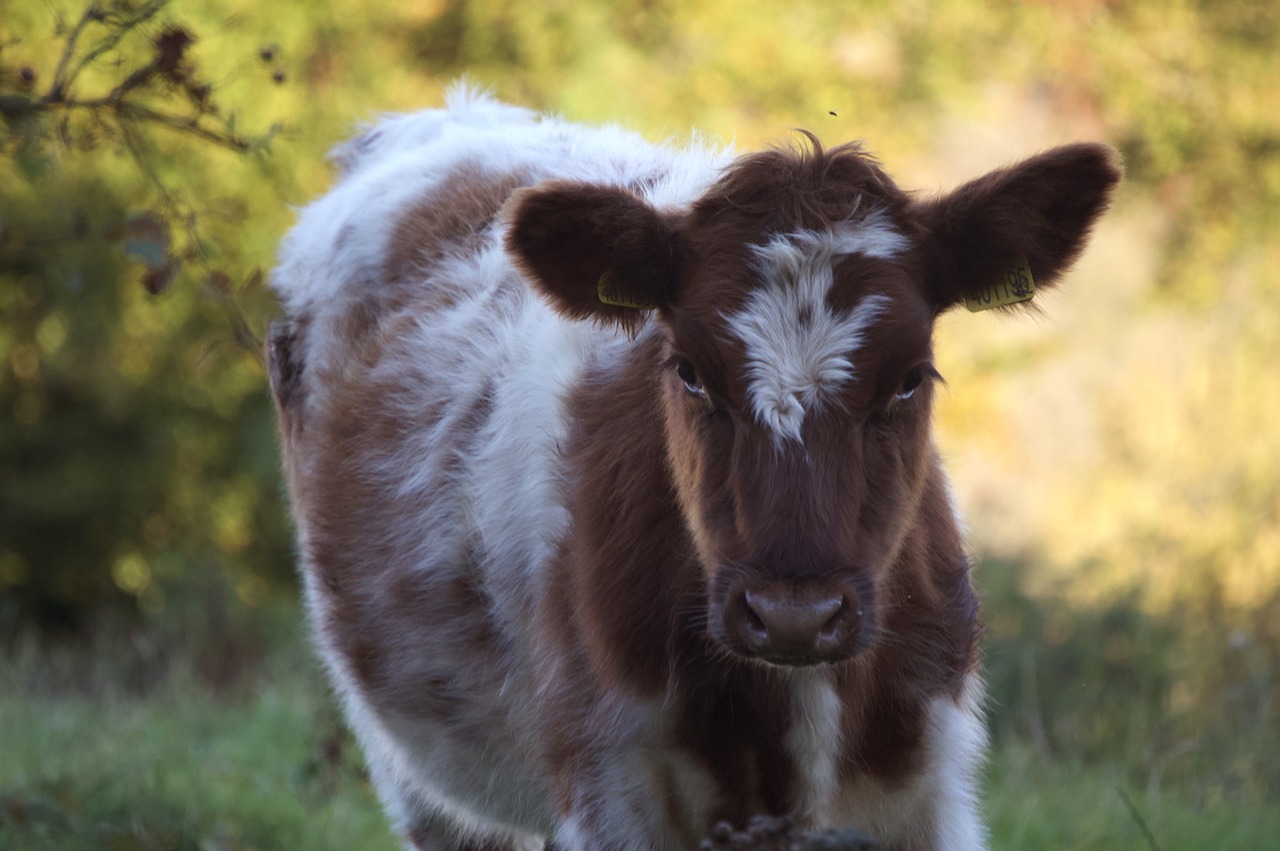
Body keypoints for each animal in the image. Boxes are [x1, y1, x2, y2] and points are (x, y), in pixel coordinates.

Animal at [270, 87, 1121, 849]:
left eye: (911, 377)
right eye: (688, 371)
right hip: (416, 771)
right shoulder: (608, 788)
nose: (793, 613)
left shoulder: (929, 790)